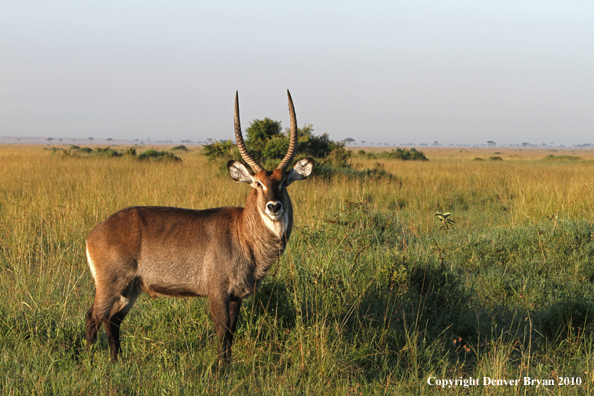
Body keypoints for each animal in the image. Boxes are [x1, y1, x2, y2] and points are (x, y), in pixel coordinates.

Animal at [85, 91, 314, 364]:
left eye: (284, 182)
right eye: (258, 183)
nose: (274, 206)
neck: (242, 233)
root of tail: (95, 233)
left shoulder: (236, 296)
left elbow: (231, 334)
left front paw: (227, 366)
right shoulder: (217, 293)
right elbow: (222, 332)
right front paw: (220, 370)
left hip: (130, 290)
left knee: (112, 320)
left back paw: (116, 361)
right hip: (110, 285)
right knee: (93, 318)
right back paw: (87, 362)